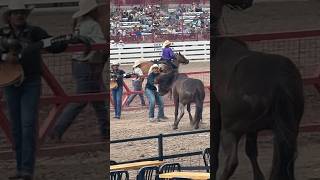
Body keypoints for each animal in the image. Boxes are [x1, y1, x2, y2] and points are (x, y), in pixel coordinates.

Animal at [212, 37, 304, 180]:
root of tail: (277, 83)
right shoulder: (253, 129)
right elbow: (251, 151)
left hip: (230, 130)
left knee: (232, 161)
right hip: (286, 131)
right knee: (283, 159)